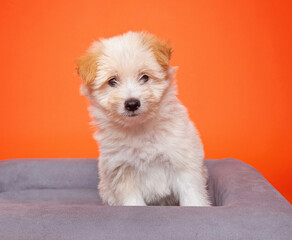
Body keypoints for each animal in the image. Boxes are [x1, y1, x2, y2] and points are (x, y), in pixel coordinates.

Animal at [77, 31, 210, 205]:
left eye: (145, 77)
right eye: (112, 81)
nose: (132, 104)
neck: (139, 128)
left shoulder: (183, 161)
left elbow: (192, 194)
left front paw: (196, 206)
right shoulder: (122, 170)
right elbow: (133, 202)